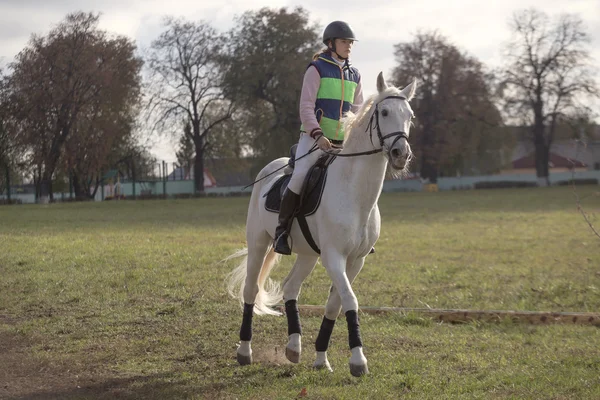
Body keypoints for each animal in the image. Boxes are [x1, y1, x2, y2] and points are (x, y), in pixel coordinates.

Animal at [226, 72, 418, 378]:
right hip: (258, 243)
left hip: (307, 254)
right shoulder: (333, 257)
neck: (355, 194)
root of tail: (272, 166)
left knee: (291, 287)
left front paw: (321, 359)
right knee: (250, 290)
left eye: (410, 115)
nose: (401, 154)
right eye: (385, 112)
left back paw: (294, 347)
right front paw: (358, 360)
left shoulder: (355, 260)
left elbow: (334, 305)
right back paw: (245, 351)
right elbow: (350, 300)